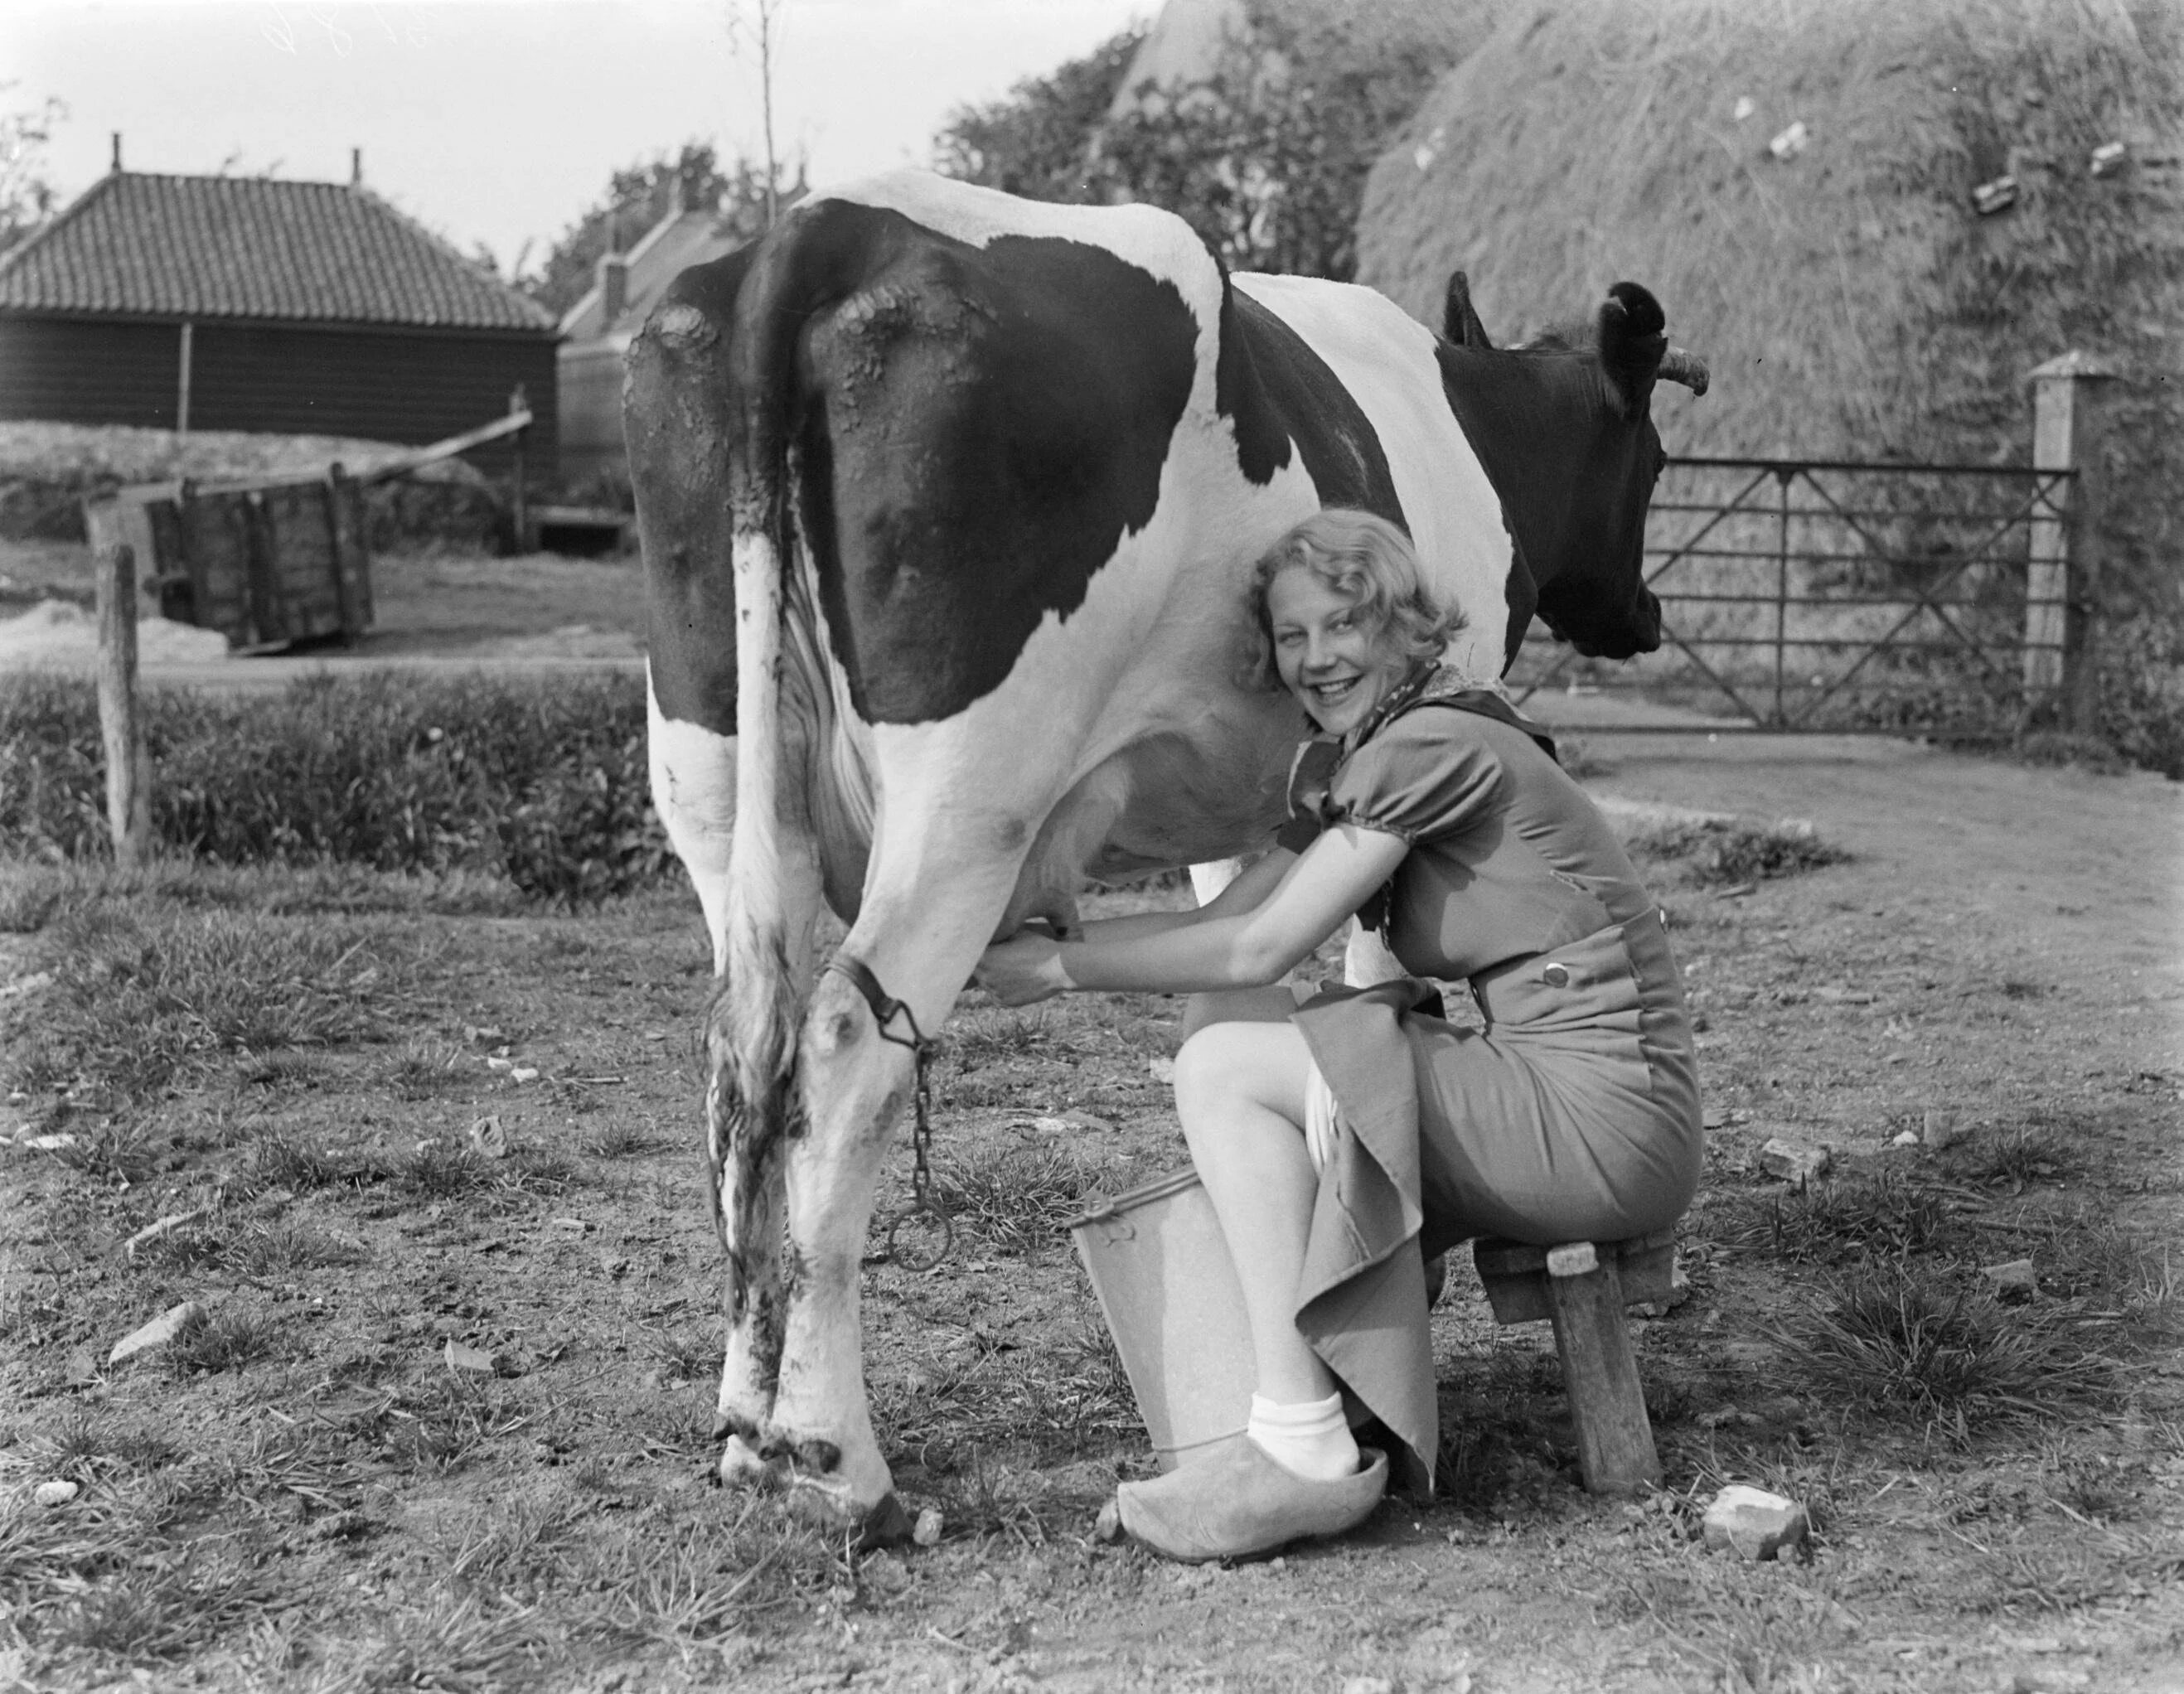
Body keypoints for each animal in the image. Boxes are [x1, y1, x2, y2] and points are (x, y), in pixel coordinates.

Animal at [624, 169, 1694, 1537]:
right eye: (1651, 457)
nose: (1645, 614)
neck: (1466, 422)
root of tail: (823, 224)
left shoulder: (1238, 813)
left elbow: (1233, 983)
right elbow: (1375, 976)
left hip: (712, 772)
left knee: (737, 1058)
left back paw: (747, 1432)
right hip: (966, 798)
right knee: (844, 1048)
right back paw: (831, 1463)